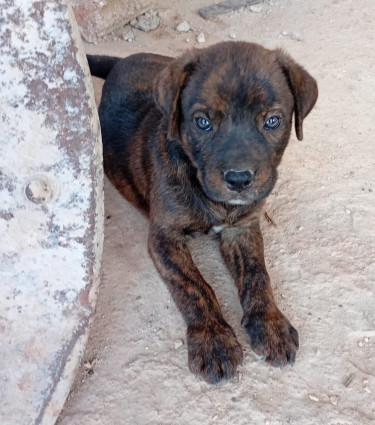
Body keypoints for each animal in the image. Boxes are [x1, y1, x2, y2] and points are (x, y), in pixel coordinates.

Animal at [87, 41, 318, 382]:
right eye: (202, 122)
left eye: (273, 121)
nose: (239, 179)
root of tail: (122, 62)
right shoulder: (164, 238)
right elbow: (194, 285)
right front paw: (213, 341)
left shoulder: (243, 228)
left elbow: (257, 274)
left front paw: (271, 324)